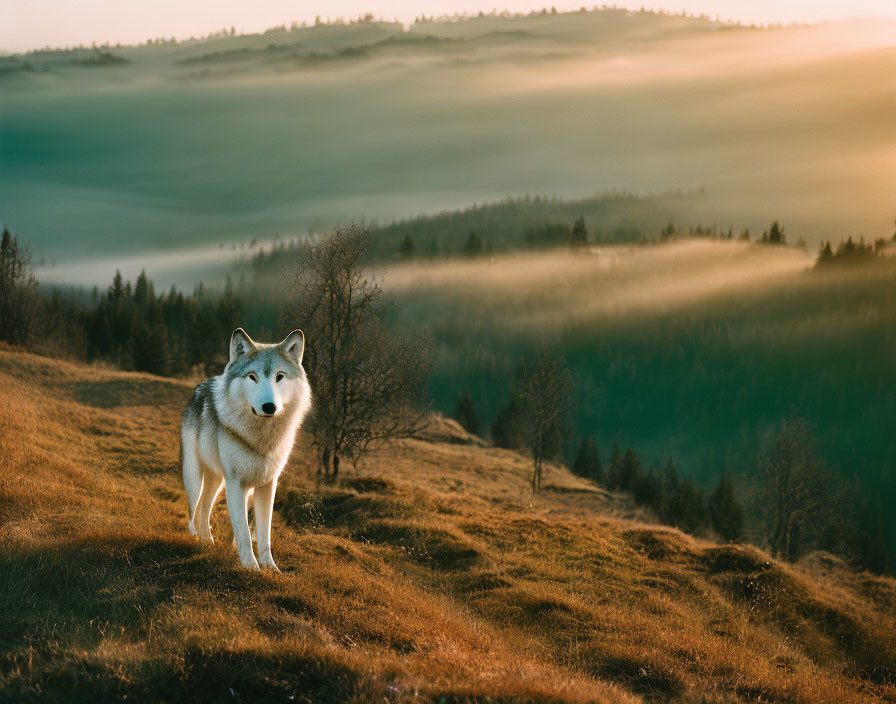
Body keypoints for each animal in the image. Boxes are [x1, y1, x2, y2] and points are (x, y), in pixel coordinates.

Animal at [178, 328, 312, 568]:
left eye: (279, 376)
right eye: (252, 377)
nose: (269, 406)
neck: (262, 439)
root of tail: (202, 384)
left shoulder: (267, 485)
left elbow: (262, 533)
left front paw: (270, 567)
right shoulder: (235, 484)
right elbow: (243, 532)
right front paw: (251, 567)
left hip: (222, 482)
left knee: (206, 506)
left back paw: (210, 540)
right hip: (195, 478)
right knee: (195, 508)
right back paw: (198, 537)